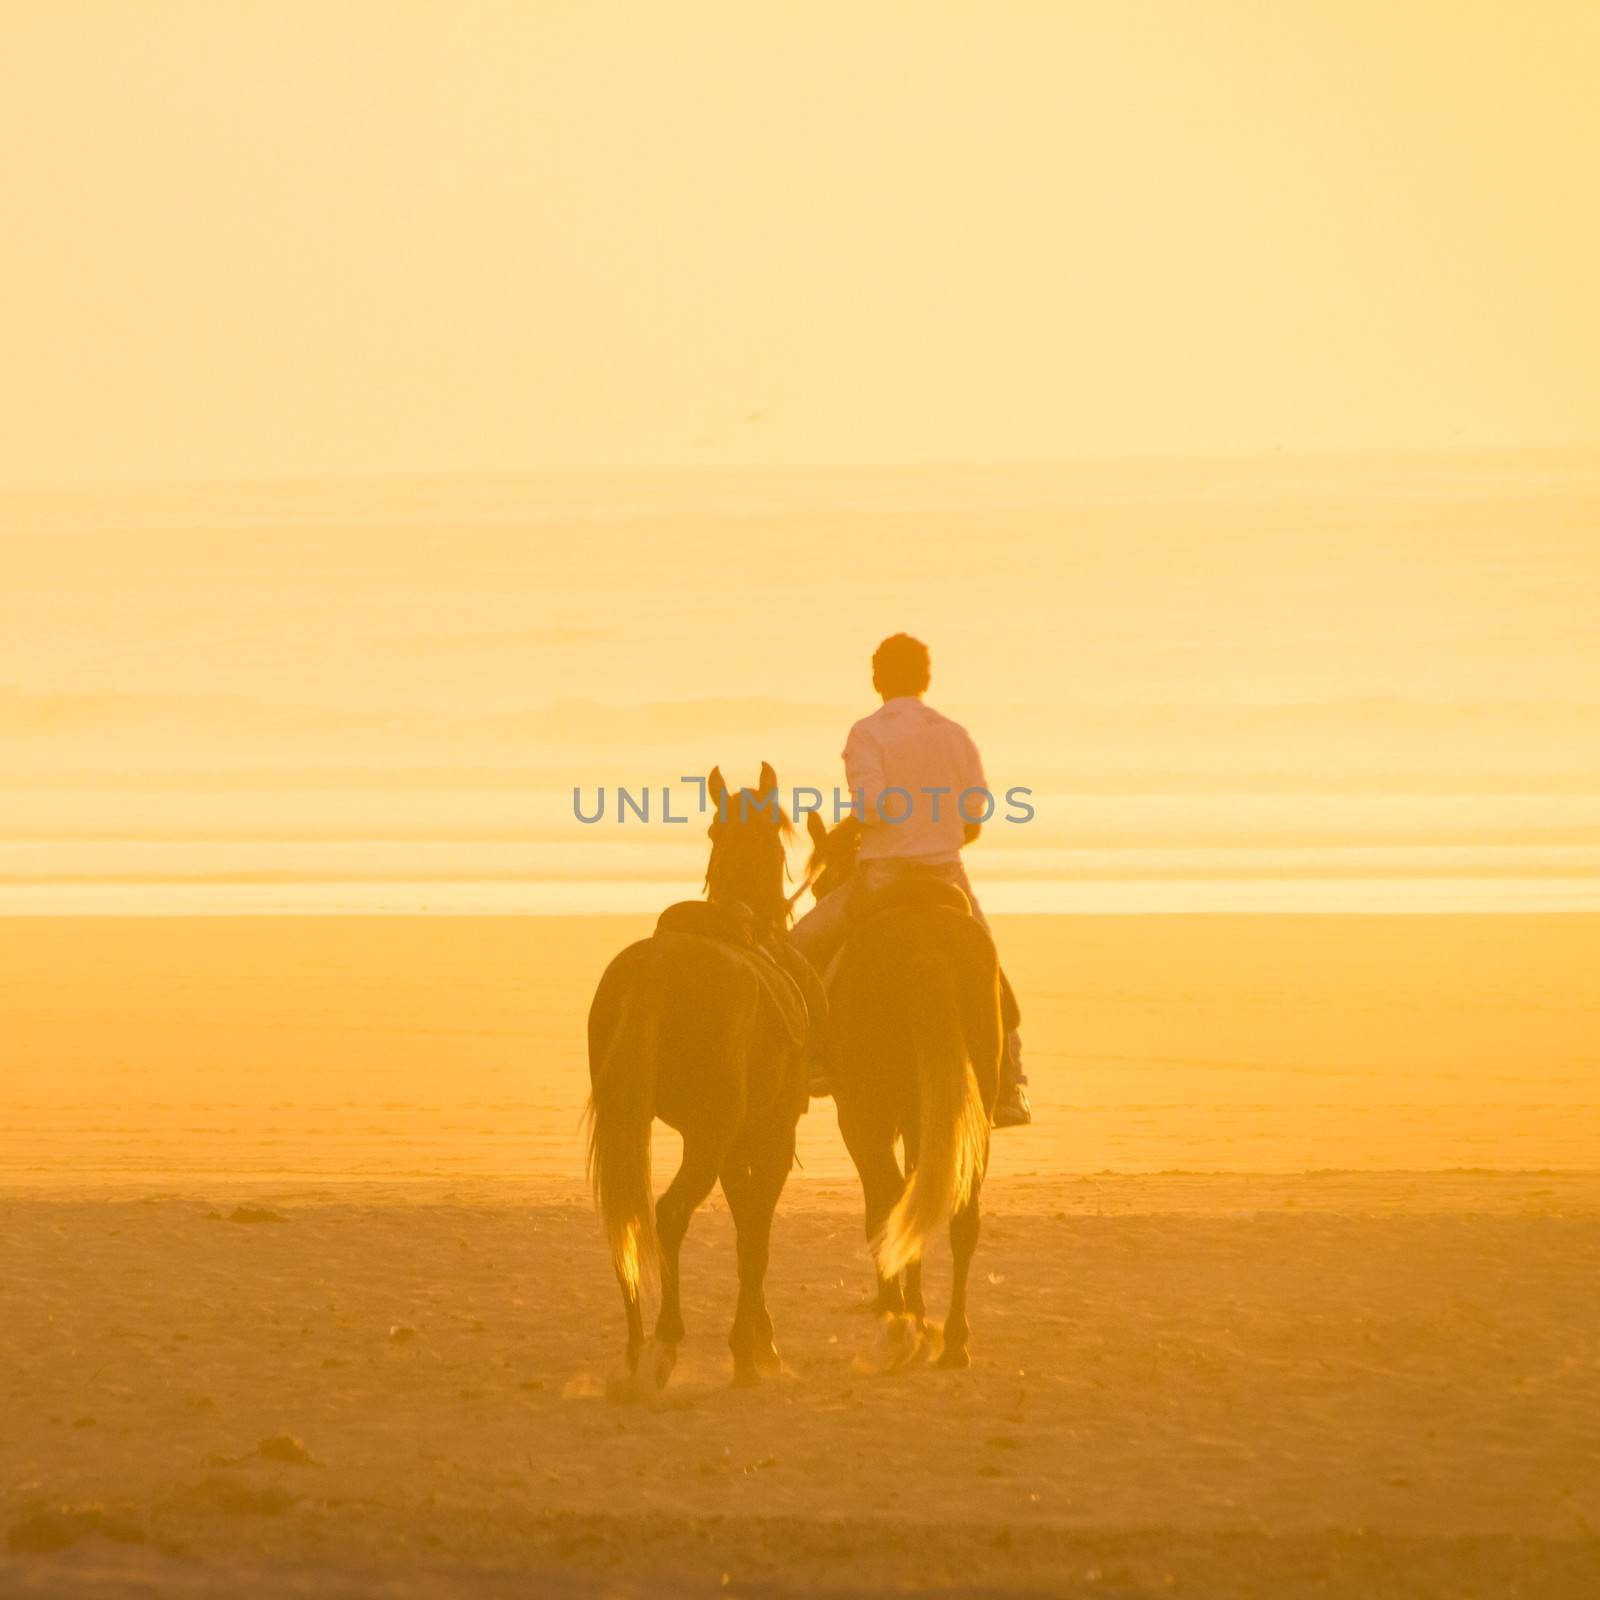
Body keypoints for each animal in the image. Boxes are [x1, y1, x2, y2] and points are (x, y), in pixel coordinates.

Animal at [585, 761, 806, 1388]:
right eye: (780, 839)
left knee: (628, 1218)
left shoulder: (735, 1144)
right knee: (669, 1213)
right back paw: (665, 1340)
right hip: (708, 1138)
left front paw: (756, 1336)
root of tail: (656, 971)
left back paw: (636, 1343)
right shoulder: (772, 1137)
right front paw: (752, 1346)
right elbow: (756, 1232)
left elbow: (745, 1227)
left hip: (640, 1126)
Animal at [800, 819, 998, 1369]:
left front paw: (899, 1301)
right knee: (963, 1215)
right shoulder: (918, 1118)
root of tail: (926, 943)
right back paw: (954, 1338)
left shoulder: (861, 1117)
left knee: (888, 1198)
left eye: (823, 885)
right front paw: (916, 1302)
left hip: (866, 1113)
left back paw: (899, 1314)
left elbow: (880, 1202)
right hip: (974, 1111)